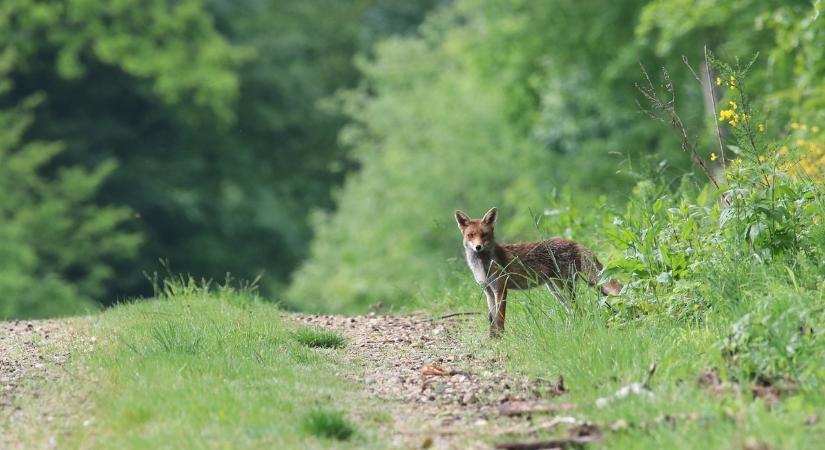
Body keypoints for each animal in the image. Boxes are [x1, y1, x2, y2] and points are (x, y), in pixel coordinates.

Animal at [454, 206, 620, 336]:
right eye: (470, 235)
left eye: (484, 235)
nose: (478, 247)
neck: (483, 266)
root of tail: (575, 242)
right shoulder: (488, 291)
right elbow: (492, 319)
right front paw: (493, 338)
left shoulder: (500, 289)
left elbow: (500, 319)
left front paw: (501, 339)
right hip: (556, 290)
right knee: (576, 311)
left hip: (564, 287)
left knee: (579, 310)